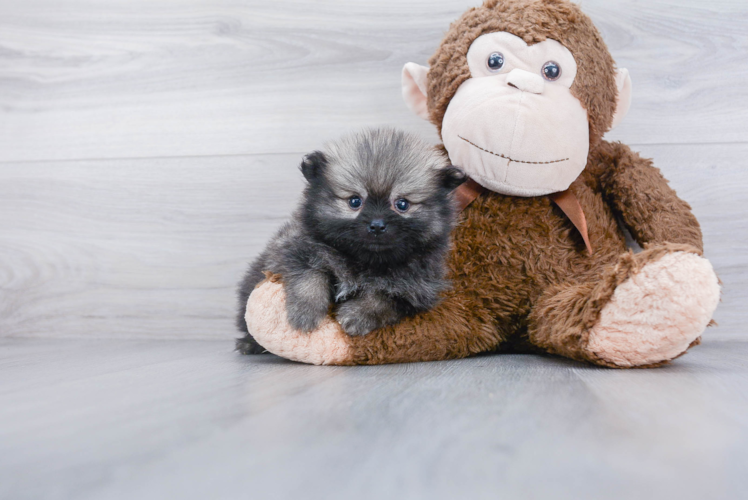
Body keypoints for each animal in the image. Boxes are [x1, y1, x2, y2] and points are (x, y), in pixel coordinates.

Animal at [237, 129, 464, 356]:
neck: (365, 261)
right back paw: (249, 344)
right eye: (355, 201)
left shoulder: (418, 288)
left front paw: (357, 315)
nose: (377, 225)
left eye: (402, 204)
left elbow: (384, 296)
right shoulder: (296, 248)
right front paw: (305, 312)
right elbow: (310, 276)